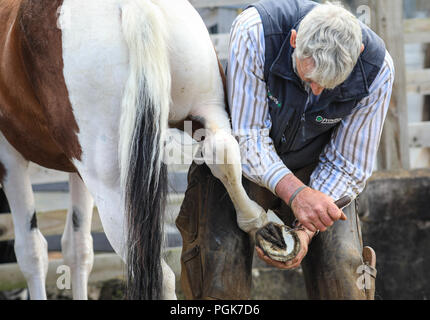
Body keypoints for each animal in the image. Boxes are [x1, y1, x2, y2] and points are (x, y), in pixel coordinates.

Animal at [0, 0, 290, 300]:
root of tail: (130, 5)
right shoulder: (74, 169)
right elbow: (78, 248)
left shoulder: (9, 158)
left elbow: (32, 251)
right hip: (208, 108)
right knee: (223, 152)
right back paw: (256, 222)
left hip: (112, 192)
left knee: (160, 276)